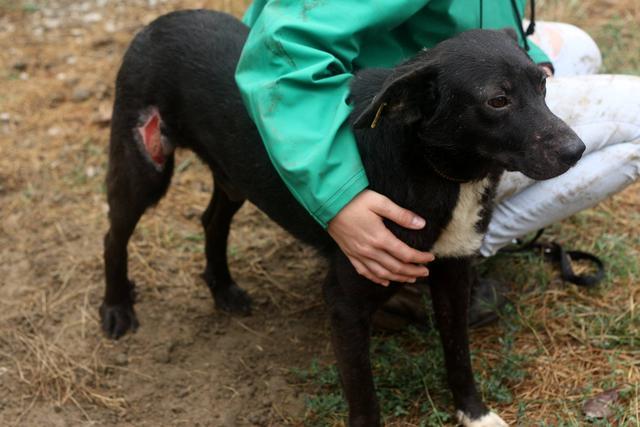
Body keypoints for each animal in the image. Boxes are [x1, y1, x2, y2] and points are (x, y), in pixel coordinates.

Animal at [102, 10, 588, 427]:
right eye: (498, 100)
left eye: (542, 85)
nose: (576, 150)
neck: (430, 165)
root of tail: (159, 23)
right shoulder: (345, 303)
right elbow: (365, 399)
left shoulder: (453, 275)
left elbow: (459, 356)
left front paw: (474, 413)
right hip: (143, 166)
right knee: (114, 235)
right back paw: (117, 308)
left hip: (233, 177)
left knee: (212, 220)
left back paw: (223, 288)